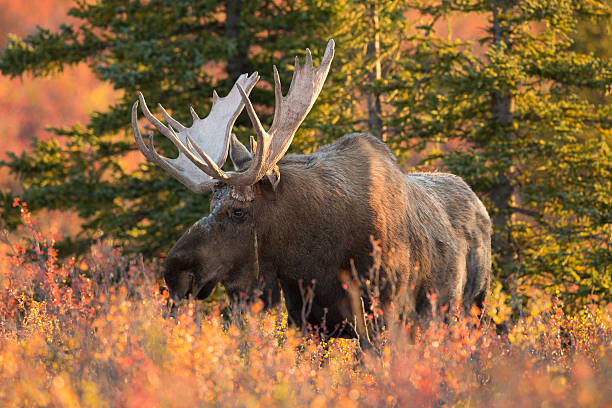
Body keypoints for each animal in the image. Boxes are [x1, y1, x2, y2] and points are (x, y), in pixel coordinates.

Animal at [131, 39, 490, 344]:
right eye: (209, 205)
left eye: (238, 211)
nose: (174, 272)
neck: (311, 257)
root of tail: (479, 204)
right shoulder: (305, 318)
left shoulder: (383, 311)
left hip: (471, 306)